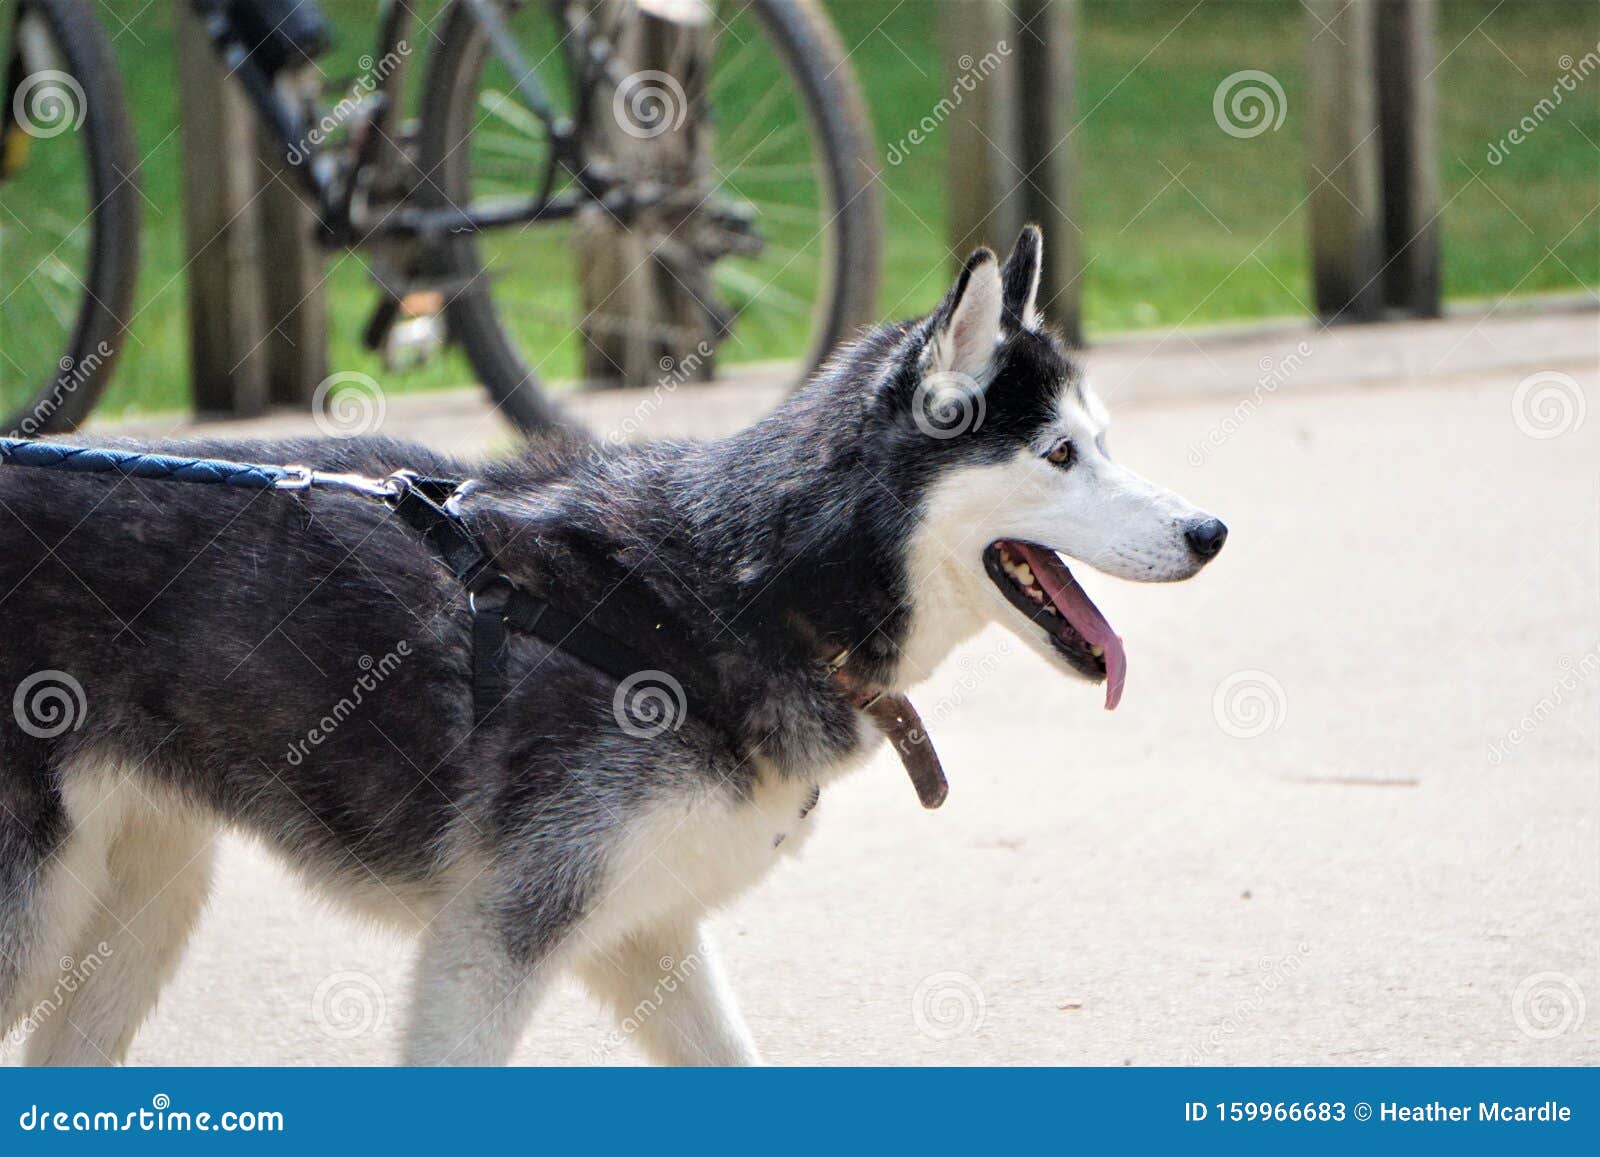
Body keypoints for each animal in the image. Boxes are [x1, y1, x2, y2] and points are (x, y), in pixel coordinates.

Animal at [0, 222, 1222, 1062]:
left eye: (1104, 442)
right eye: (1060, 454)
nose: (1209, 531)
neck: (740, 586)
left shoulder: (647, 933)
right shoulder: (493, 936)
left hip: (145, 897)